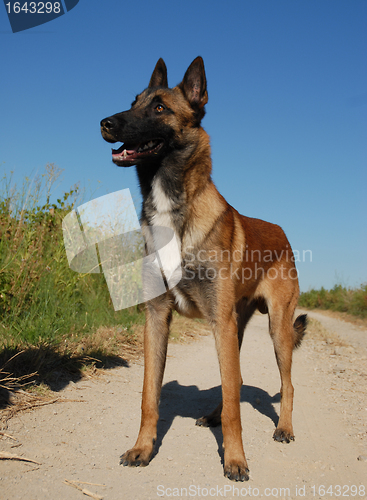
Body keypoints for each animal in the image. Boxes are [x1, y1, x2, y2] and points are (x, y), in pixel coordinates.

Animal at [100, 55, 308, 480]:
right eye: (133, 101)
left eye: (159, 107)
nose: (105, 123)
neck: (173, 205)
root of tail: (281, 232)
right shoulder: (157, 319)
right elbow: (149, 395)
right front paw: (142, 448)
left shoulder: (220, 324)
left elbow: (235, 410)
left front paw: (236, 459)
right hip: (235, 327)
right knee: (235, 382)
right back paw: (213, 416)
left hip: (275, 329)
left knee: (286, 384)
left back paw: (284, 428)